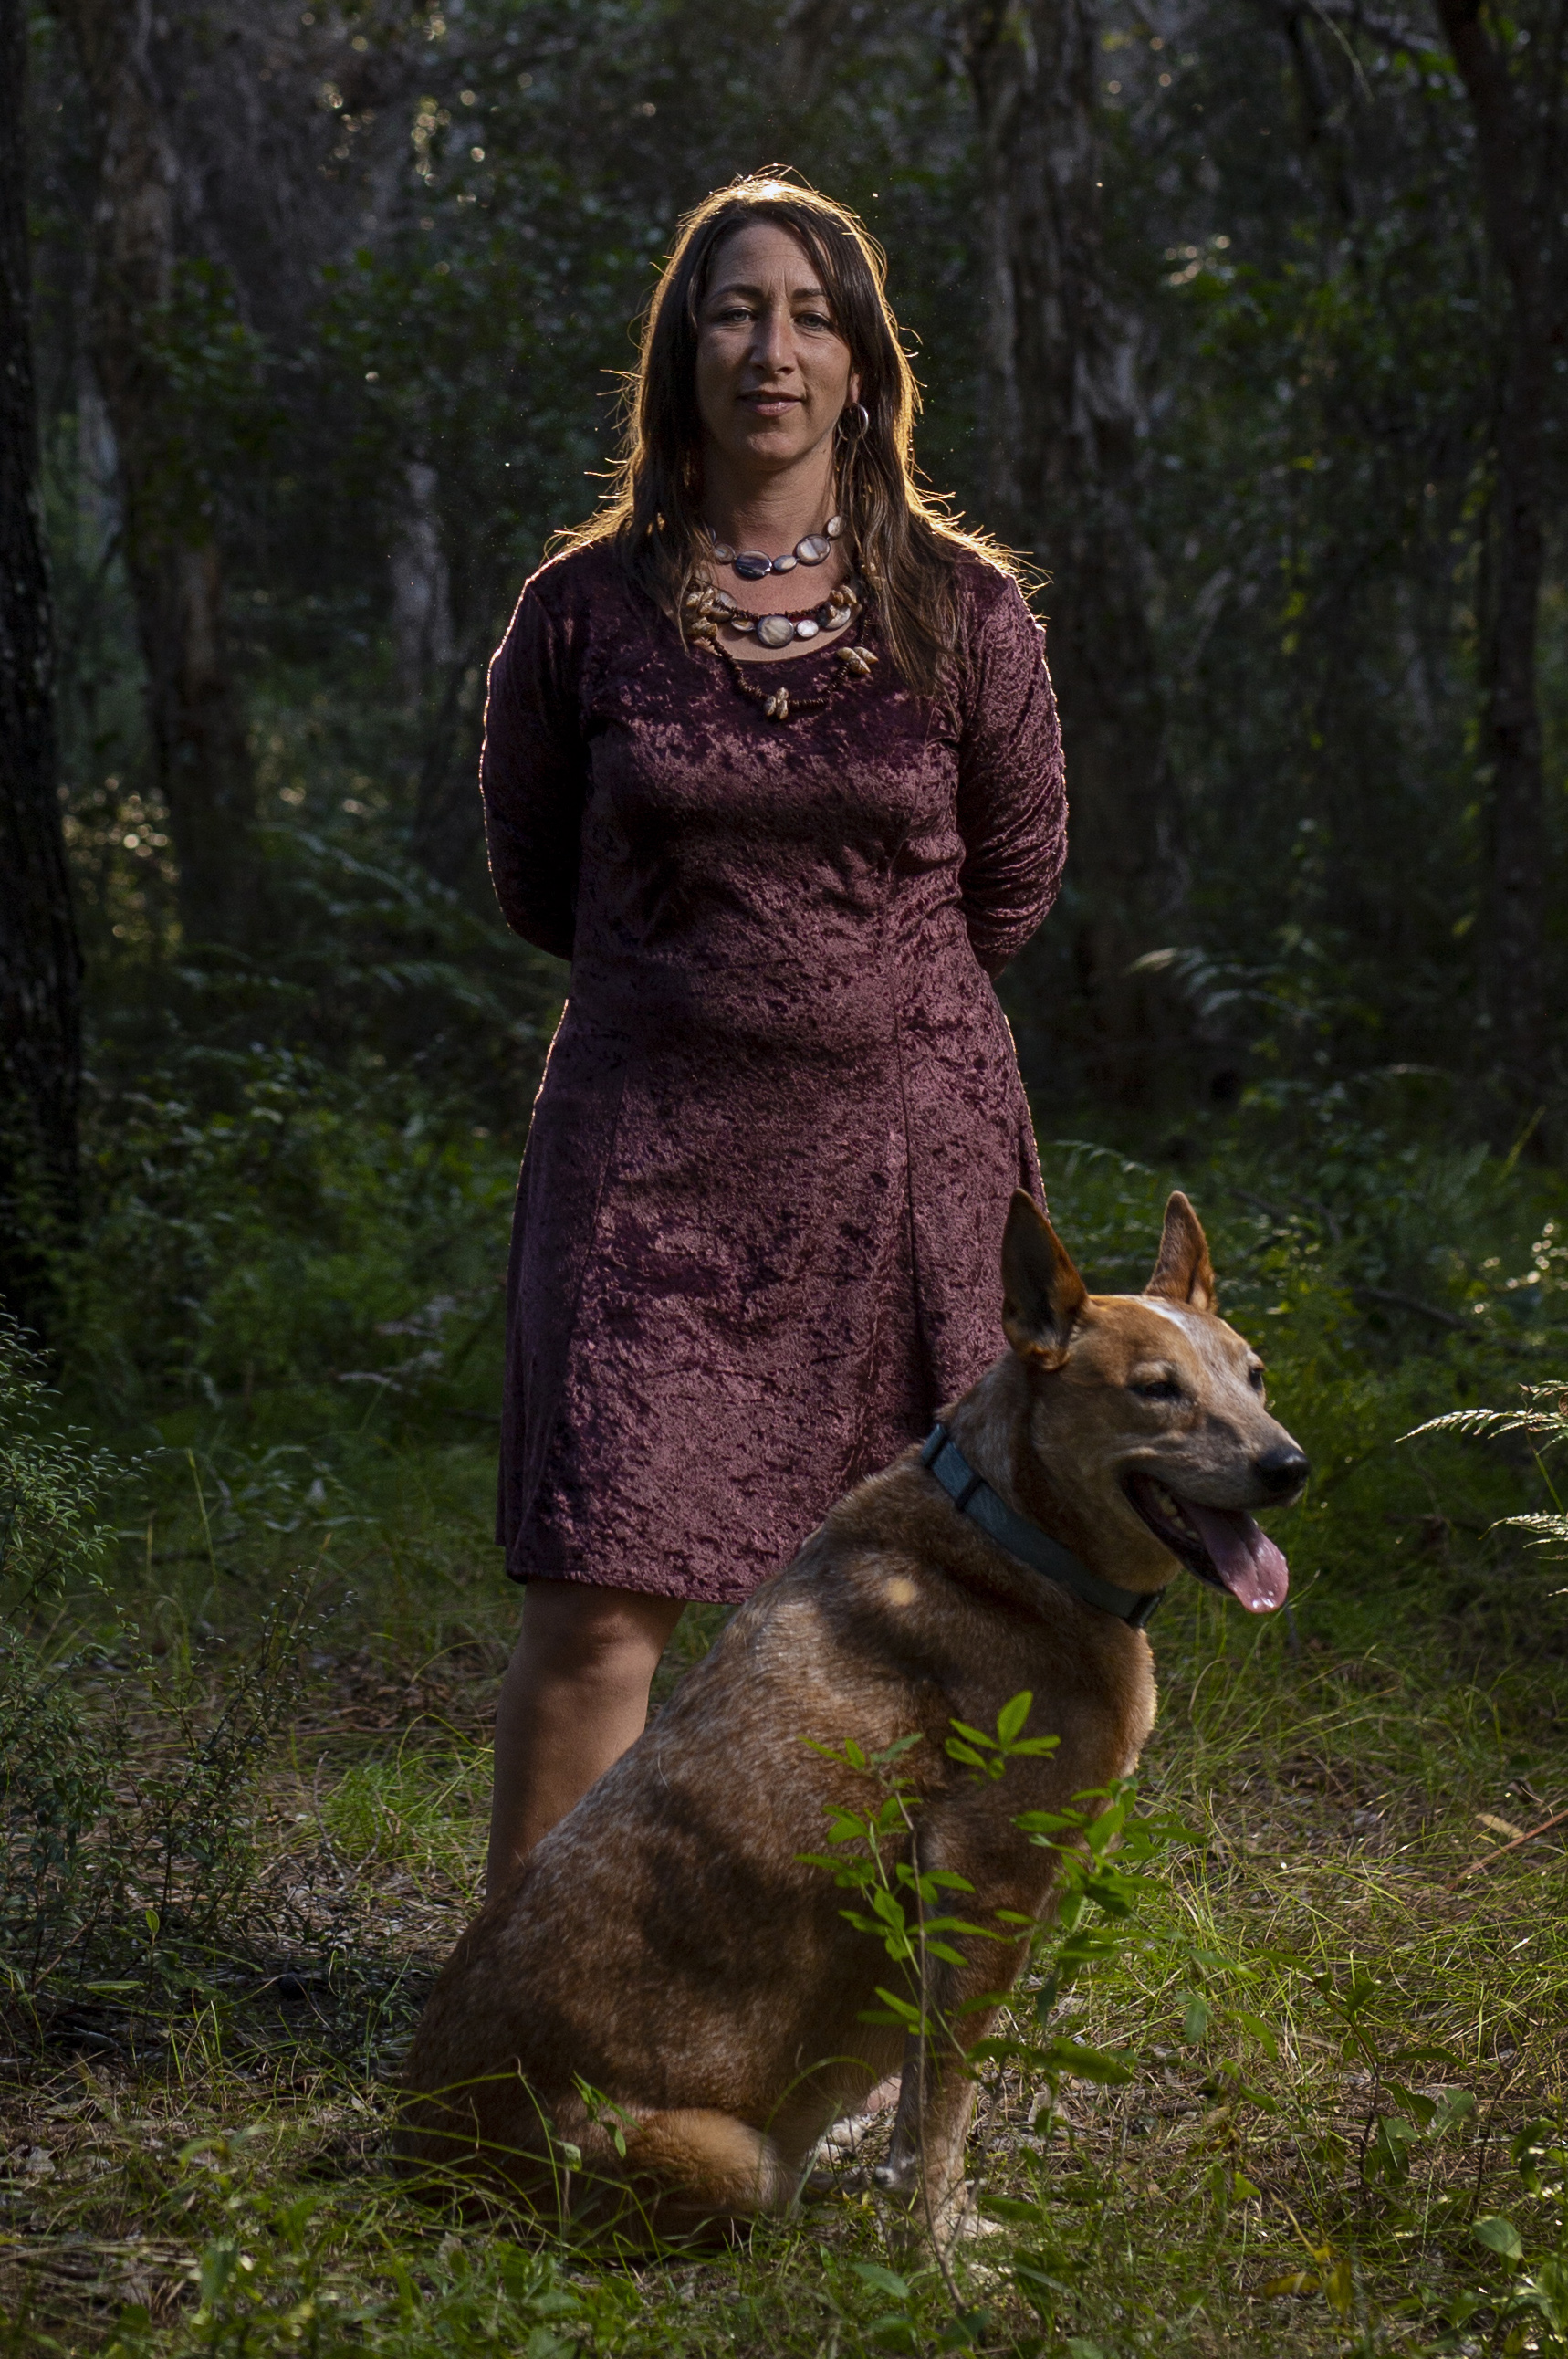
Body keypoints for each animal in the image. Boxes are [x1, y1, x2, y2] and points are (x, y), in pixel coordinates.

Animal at [398, 1189, 1301, 2236]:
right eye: (1156, 1389)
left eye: (1255, 1375)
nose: (1289, 1465)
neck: (1015, 1539)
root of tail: (416, 2151)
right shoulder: (981, 1883)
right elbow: (941, 2107)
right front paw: (939, 2243)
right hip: (727, 2160)